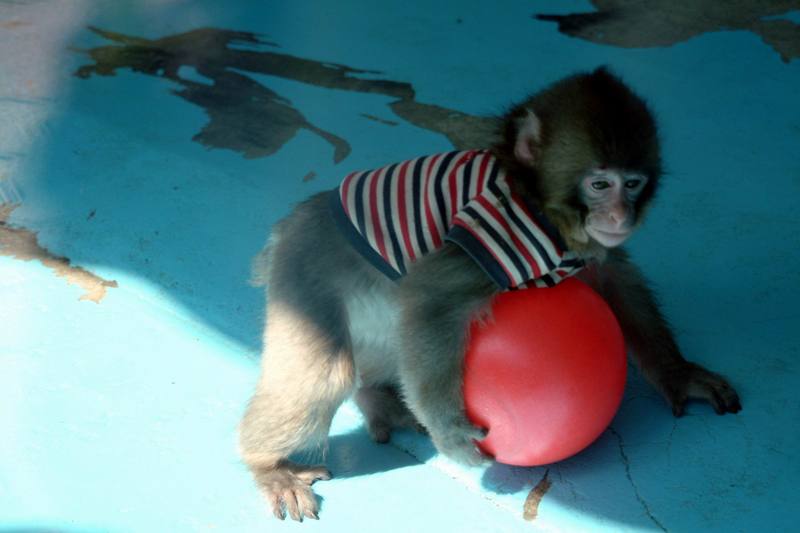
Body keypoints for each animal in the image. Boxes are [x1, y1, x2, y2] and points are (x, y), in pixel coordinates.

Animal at [241, 67, 740, 520]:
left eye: (633, 183)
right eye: (600, 184)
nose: (620, 216)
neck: (538, 203)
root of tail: (290, 224)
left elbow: (613, 277)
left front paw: (678, 373)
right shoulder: (497, 230)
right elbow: (430, 296)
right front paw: (451, 435)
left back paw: (373, 398)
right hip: (306, 271)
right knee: (325, 375)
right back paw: (268, 466)